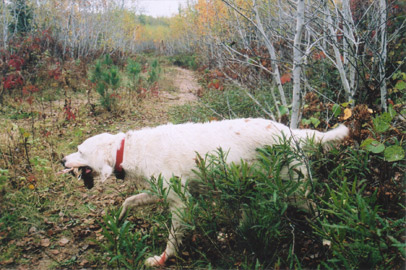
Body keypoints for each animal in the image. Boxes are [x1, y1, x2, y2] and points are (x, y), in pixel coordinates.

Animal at [60, 119, 348, 266]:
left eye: (80, 151)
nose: (62, 160)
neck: (130, 149)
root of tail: (292, 133)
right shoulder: (160, 192)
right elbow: (130, 201)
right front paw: (118, 219)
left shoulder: (181, 203)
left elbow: (172, 240)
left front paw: (162, 259)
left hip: (296, 190)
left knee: (318, 211)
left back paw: (327, 239)